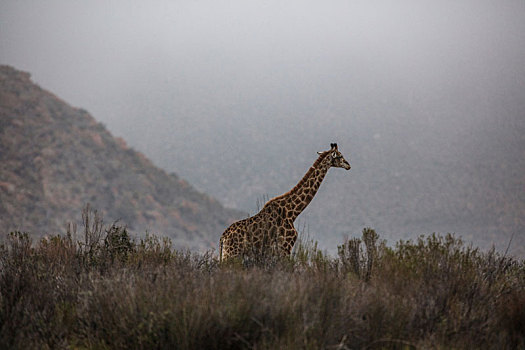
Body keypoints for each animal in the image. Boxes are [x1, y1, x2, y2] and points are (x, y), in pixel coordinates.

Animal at [219, 142, 350, 260]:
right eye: (340, 156)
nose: (348, 165)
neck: (293, 212)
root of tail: (222, 238)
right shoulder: (285, 247)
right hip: (232, 254)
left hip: (227, 254)